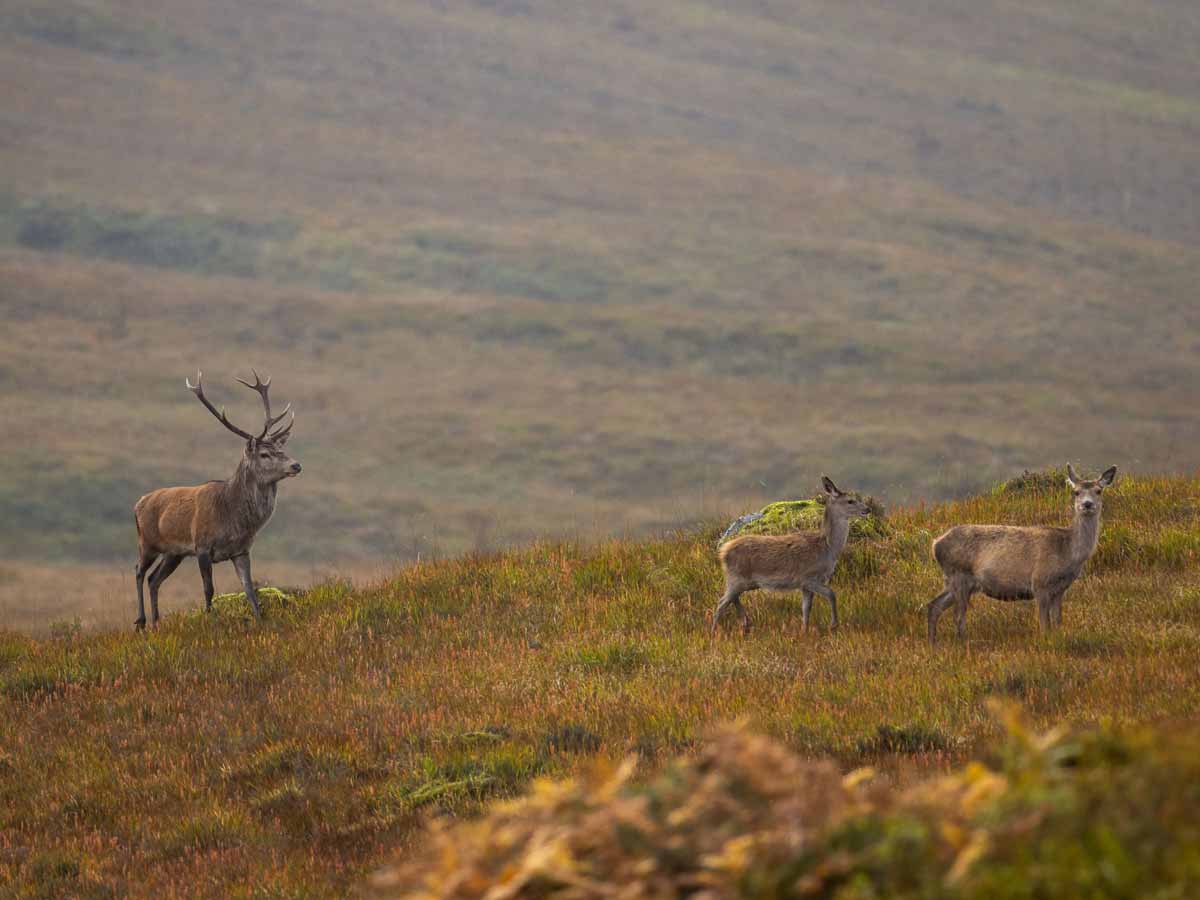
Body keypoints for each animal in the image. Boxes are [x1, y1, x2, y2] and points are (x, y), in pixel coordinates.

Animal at [132, 371, 301, 630]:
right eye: (264, 454)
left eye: (282, 450)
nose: (296, 465)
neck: (233, 518)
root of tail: (138, 503)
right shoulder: (202, 546)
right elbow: (208, 589)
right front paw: (209, 620)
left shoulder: (241, 551)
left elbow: (250, 590)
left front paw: (260, 621)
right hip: (147, 542)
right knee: (139, 571)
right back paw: (141, 622)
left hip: (174, 553)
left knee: (154, 579)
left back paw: (157, 622)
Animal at [712, 477, 871, 636]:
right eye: (850, 501)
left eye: (858, 497)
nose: (867, 509)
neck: (827, 549)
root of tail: (723, 551)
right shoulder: (808, 577)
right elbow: (832, 594)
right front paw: (833, 625)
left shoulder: (805, 585)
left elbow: (806, 608)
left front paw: (804, 631)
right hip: (737, 578)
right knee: (721, 603)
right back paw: (714, 633)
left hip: (745, 582)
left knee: (733, 599)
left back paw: (746, 624)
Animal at [926, 464, 1117, 644]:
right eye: (1076, 492)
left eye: (1098, 490)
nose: (1087, 504)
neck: (1067, 552)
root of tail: (936, 544)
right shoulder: (1040, 582)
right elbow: (1044, 625)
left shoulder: (1060, 589)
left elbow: (1057, 622)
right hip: (959, 574)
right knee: (958, 616)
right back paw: (962, 642)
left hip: (957, 581)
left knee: (934, 605)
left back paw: (933, 643)